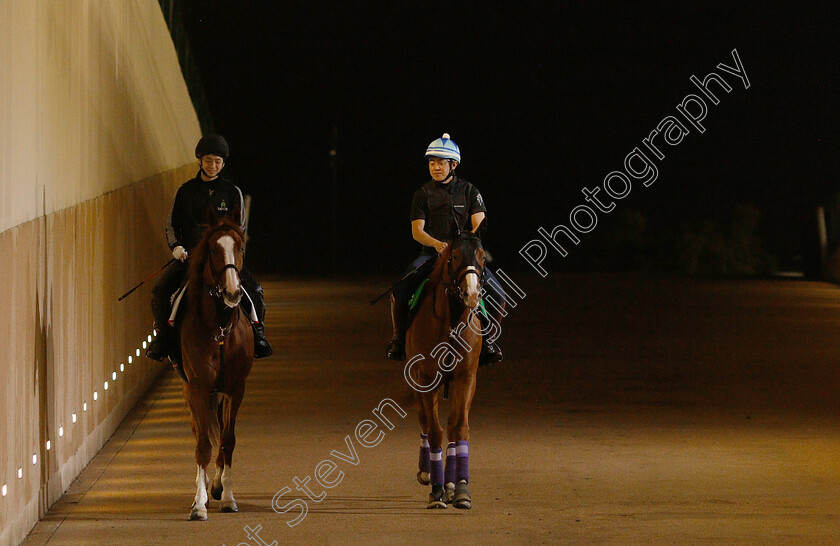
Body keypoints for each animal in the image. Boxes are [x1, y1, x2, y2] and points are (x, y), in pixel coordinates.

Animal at [406, 230, 486, 506]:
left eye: (482, 256)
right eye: (455, 255)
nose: (472, 294)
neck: (451, 323)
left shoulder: (466, 377)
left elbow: (458, 426)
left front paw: (459, 487)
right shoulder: (425, 377)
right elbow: (434, 431)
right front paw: (437, 490)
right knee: (424, 421)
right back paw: (427, 473)